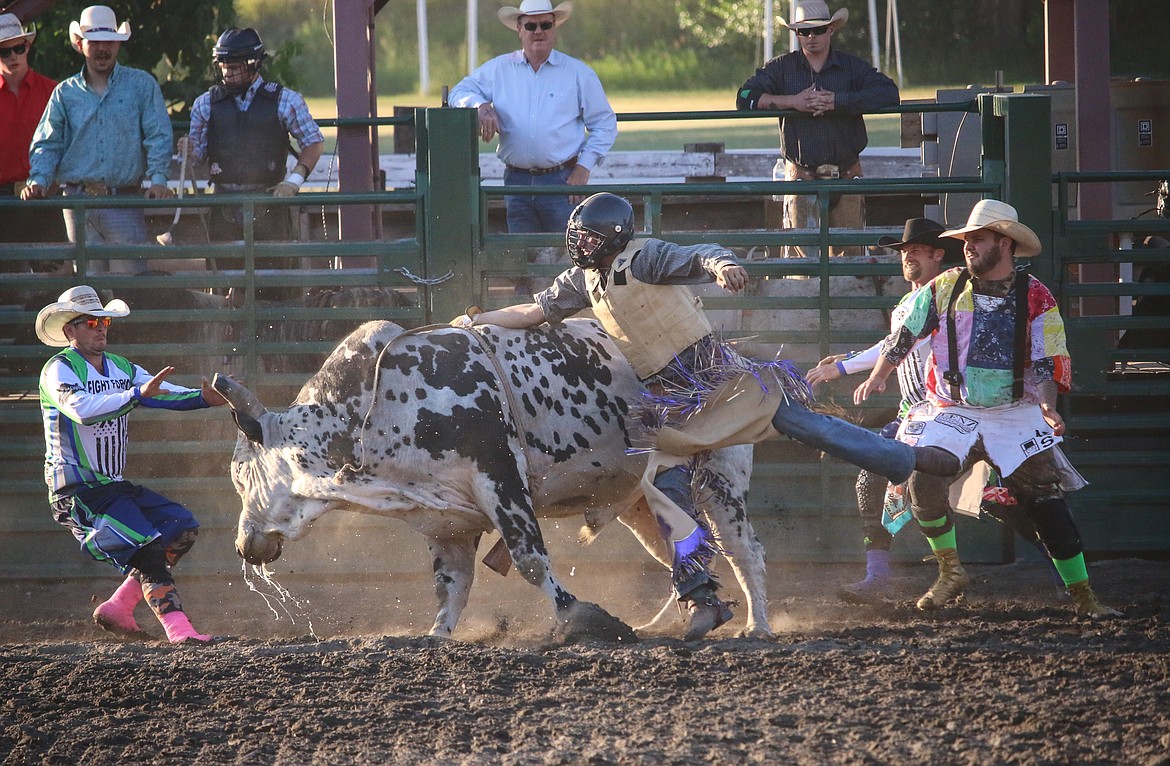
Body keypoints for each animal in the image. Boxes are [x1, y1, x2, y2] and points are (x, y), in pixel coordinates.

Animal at [215, 318, 772, 640]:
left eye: (241, 474)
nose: (243, 545)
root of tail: (731, 354)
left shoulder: (499, 477)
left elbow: (529, 560)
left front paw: (581, 618)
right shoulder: (445, 518)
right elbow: (451, 584)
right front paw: (436, 635)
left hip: (719, 471)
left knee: (742, 549)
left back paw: (756, 626)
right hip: (638, 500)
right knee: (675, 546)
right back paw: (690, 616)